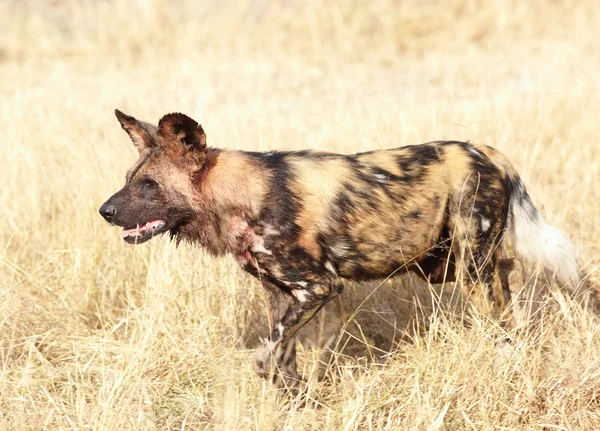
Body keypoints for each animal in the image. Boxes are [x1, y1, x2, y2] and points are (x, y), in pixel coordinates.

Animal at [101, 110, 580, 384]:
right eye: (129, 179)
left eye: (149, 186)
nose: (105, 211)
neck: (239, 197)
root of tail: (491, 153)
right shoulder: (280, 293)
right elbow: (281, 358)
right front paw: (296, 402)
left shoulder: (319, 287)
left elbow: (265, 356)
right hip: (446, 265)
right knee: (510, 294)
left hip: (468, 268)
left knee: (501, 319)